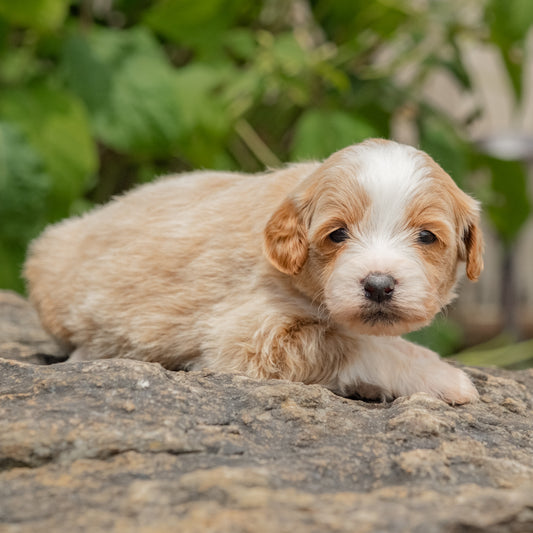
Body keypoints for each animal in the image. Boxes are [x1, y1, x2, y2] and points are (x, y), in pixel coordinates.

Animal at [23, 138, 482, 404]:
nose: (379, 286)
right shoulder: (254, 338)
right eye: (337, 234)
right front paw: (443, 377)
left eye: (426, 237)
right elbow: (362, 347)